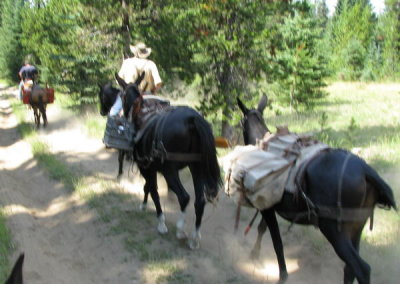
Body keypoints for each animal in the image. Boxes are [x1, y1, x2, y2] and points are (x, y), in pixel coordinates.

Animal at [98, 75, 220, 248]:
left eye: (102, 96)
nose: (102, 111)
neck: (141, 114)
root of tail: (192, 119)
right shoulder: (151, 167)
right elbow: (148, 187)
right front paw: (143, 205)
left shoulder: (145, 167)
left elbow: (153, 191)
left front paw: (161, 222)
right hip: (196, 167)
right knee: (200, 201)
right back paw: (195, 237)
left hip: (170, 170)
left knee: (184, 197)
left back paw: (180, 230)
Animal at [236, 96, 396, 282]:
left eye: (241, 122)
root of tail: (367, 172)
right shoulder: (270, 204)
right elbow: (263, 228)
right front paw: (254, 254)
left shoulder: (266, 206)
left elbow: (276, 242)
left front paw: (282, 275)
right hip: (357, 225)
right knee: (349, 268)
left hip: (333, 228)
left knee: (361, 268)